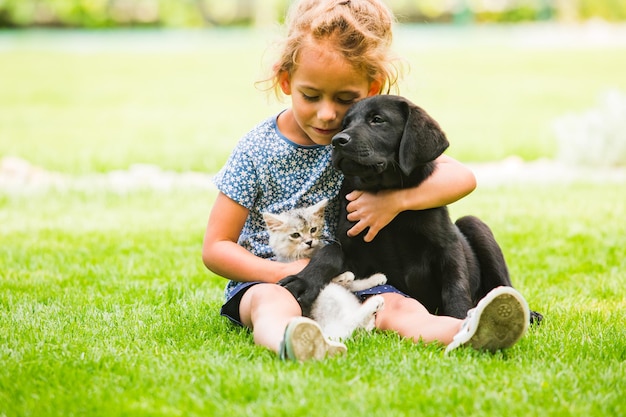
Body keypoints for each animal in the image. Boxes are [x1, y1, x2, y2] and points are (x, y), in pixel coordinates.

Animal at [260, 199, 386, 342]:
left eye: (313, 229)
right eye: (295, 235)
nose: (309, 242)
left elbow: (356, 283)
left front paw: (376, 278)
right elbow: (345, 278)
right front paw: (346, 276)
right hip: (332, 297)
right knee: (348, 324)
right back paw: (375, 304)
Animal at [280, 95, 540, 322]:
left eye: (377, 119)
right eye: (345, 124)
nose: (337, 141)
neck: (383, 190)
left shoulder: (448, 246)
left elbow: (455, 284)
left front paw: (458, 319)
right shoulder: (352, 247)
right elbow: (329, 253)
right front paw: (303, 283)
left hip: (474, 225)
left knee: (502, 283)